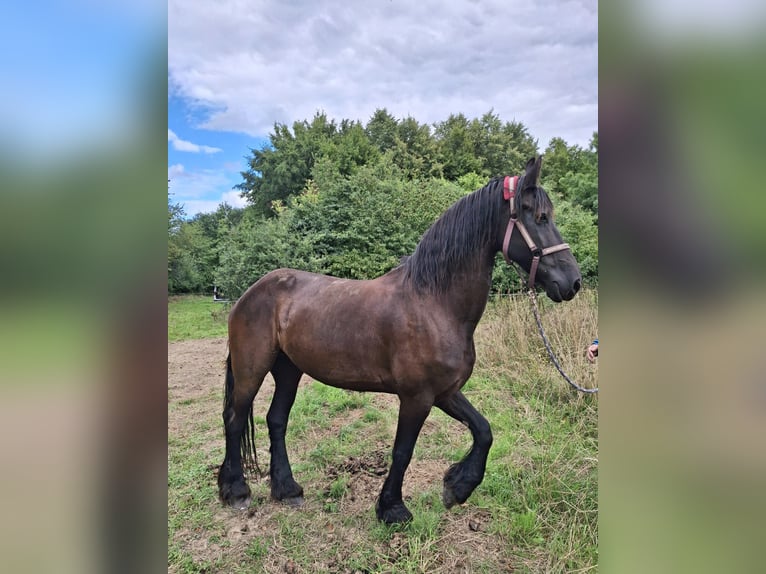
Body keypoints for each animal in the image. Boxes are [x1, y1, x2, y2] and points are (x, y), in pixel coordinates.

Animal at [217, 156, 582, 524]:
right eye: (540, 217)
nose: (573, 282)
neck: (434, 302)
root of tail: (250, 293)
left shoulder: (444, 392)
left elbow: (483, 430)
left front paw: (457, 486)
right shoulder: (416, 397)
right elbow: (403, 451)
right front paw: (392, 507)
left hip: (289, 370)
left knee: (276, 421)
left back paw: (286, 489)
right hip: (252, 370)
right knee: (234, 419)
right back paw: (236, 491)